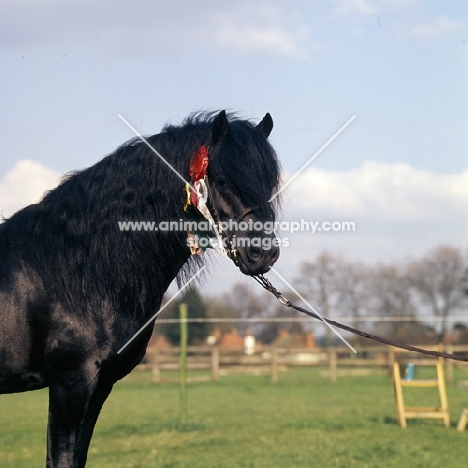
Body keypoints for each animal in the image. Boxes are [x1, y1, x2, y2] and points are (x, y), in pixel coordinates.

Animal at [0, 111, 282, 466]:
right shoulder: (70, 383)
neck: (77, 268)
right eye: (221, 180)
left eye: (269, 183)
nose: (264, 253)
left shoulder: (99, 386)